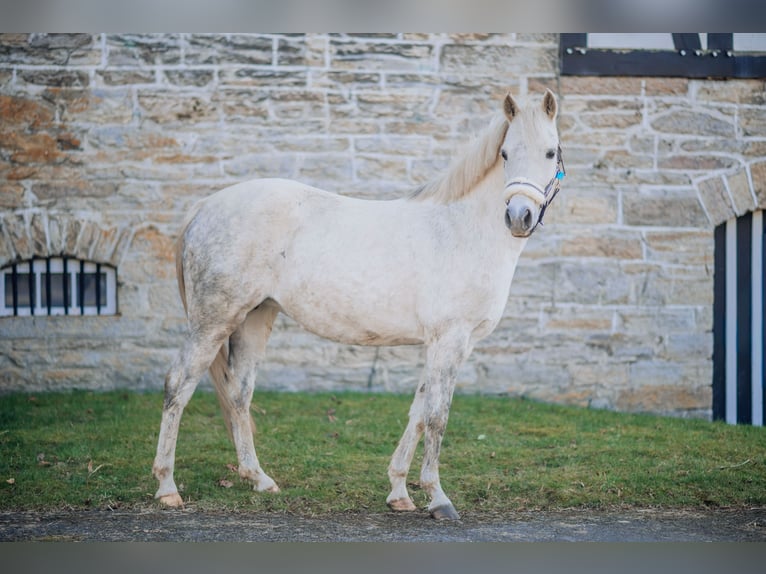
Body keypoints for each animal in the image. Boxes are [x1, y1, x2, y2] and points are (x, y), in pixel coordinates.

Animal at [152, 89, 564, 520]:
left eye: (551, 152)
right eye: (505, 153)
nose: (519, 216)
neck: (461, 230)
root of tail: (205, 206)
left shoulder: (442, 345)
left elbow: (418, 413)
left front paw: (400, 492)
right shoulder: (450, 340)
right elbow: (437, 417)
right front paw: (438, 498)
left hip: (253, 319)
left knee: (238, 393)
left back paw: (259, 479)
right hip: (213, 321)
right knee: (178, 384)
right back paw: (167, 487)